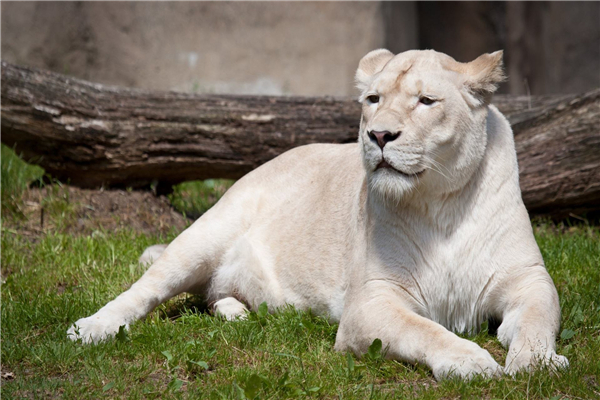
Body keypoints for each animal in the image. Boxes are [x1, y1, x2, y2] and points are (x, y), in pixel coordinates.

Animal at [69, 48, 568, 380]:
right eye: (372, 99)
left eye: (426, 101)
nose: (378, 135)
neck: (440, 203)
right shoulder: (370, 303)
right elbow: (426, 331)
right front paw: (471, 360)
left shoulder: (527, 278)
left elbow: (539, 318)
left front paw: (539, 362)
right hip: (204, 235)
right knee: (143, 291)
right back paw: (89, 329)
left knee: (211, 295)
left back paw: (237, 311)